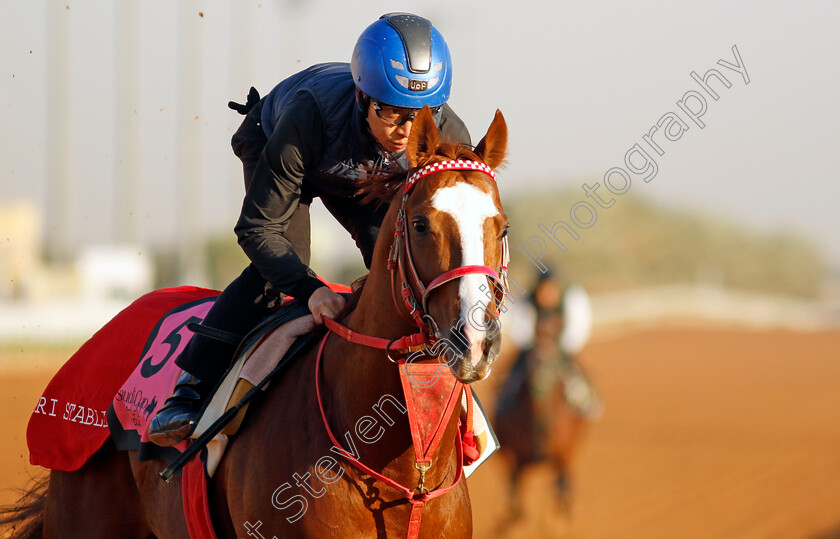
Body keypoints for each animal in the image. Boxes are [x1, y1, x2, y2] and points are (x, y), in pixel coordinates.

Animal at [492, 272, 604, 528]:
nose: (541, 371)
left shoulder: (563, 454)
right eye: (536, 332)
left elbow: (561, 488)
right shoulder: (517, 458)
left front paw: (559, 522)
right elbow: (518, 501)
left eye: (556, 331)